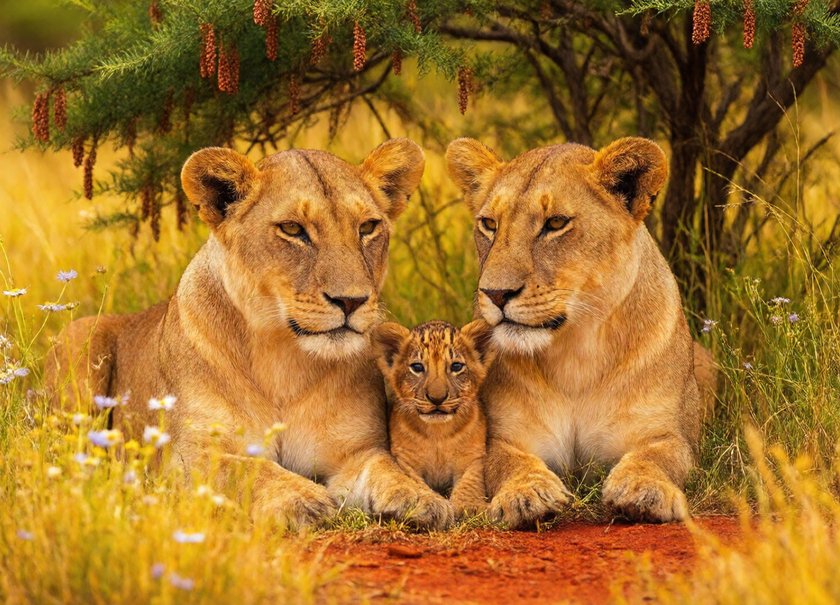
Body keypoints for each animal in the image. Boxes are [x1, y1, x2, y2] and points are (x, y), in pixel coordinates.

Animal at [46, 139, 454, 529]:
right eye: (293, 229)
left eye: (368, 227)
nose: (351, 300)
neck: (284, 359)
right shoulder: (183, 455)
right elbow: (246, 468)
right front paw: (303, 499)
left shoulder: (356, 452)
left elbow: (387, 468)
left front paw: (423, 499)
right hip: (80, 340)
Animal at [373, 319, 495, 518]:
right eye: (417, 367)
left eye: (456, 366)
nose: (437, 398)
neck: (438, 433)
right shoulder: (404, 460)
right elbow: (417, 484)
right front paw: (430, 503)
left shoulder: (473, 458)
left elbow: (469, 482)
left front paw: (469, 505)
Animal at [446, 136, 715, 526]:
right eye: (489, 224)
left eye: (556, 223)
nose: (494, 293)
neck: (575, 350)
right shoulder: (504, 437)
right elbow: (508, 462)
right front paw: (527, 495)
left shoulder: (666, 433)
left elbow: (658, 457)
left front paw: (643, 491)